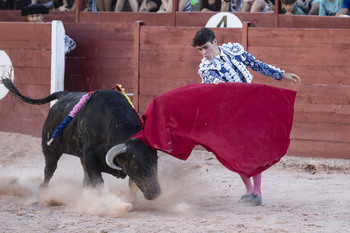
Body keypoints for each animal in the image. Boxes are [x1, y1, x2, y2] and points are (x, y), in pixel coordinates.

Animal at [0, 78, 161, 200]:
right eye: (134, 164)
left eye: (155, 161)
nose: (155, 193)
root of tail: (63, 94)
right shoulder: (90, 157)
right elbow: (98, 182)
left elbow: (132, 185)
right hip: (50, 149)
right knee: (49, 170)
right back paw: (43, 189)